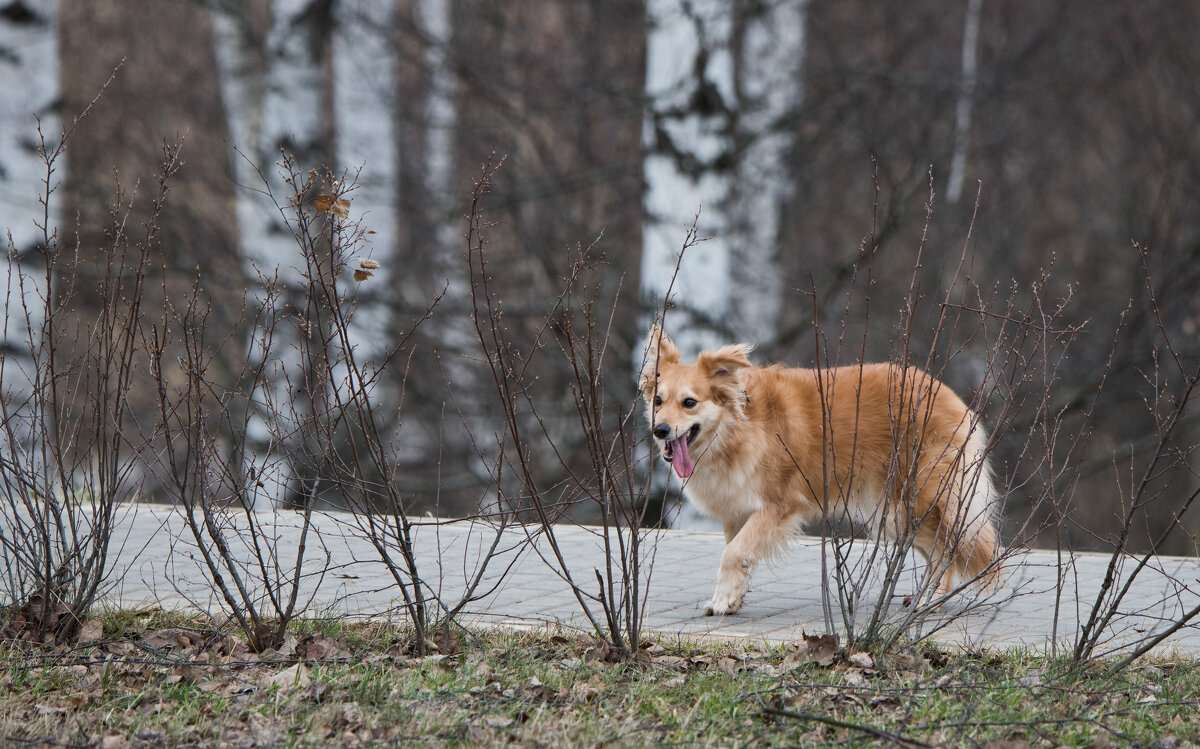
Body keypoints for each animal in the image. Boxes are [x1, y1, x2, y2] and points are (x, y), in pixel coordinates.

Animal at [643, 326, 998, 614]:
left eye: (689, 403)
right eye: (658, 401)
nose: (660, 430)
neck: (734, 429)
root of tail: (948, 396)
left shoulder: (778, 506)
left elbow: (732, 554)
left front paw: (721, 601)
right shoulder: (737, 511)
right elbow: (738, 553)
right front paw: (732, 599)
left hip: (914, 502)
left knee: (946, 547)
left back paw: (931, 598)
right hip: (893, 515)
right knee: (939, 549)